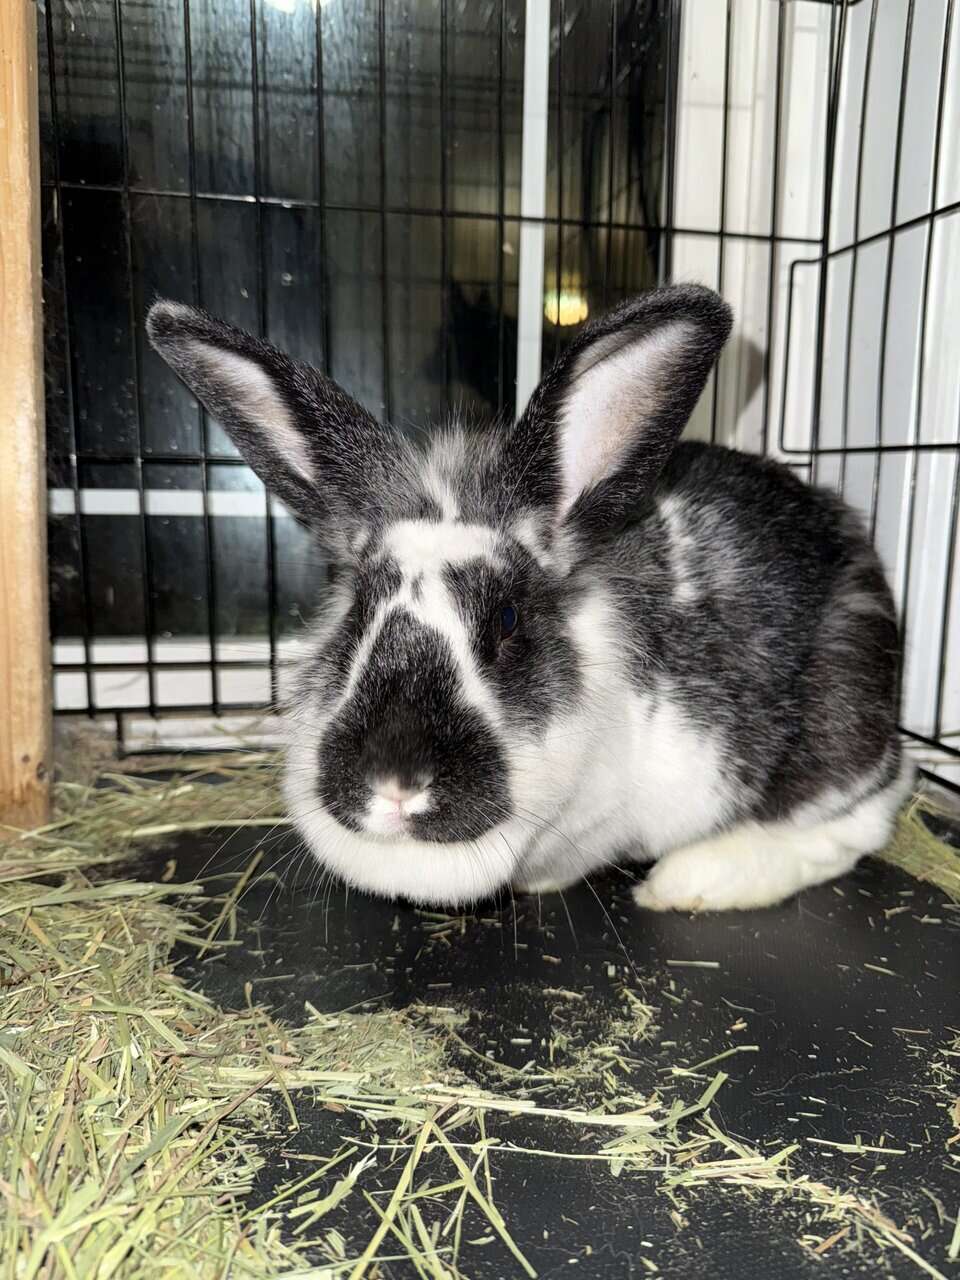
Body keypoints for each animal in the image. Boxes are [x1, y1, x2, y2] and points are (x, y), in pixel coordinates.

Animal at [146, 284, 912, 912]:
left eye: (507, 622)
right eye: (359, 613)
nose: (395, 785)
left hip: (839, 724)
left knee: (857, 818)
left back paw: (689, 882)